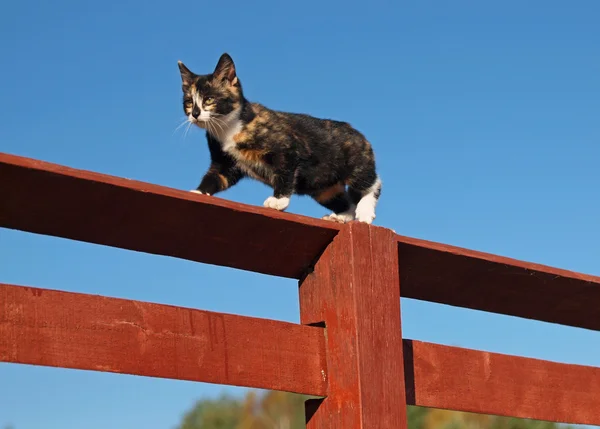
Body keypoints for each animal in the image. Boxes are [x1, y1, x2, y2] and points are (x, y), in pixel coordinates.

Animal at [178, 53, 382, 224]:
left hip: (355, 163)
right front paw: (198, 192)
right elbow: (216, 176)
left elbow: (284, 173)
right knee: (345, 202)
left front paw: (278, 200)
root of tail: (355, 130)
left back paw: (365, 212)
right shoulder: (224, 162)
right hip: (323, 187)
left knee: (371, 183)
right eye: (188, 102)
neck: (228, 129)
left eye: (209, 99)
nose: (195, 114)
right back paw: (340, 217)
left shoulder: (288, 147)